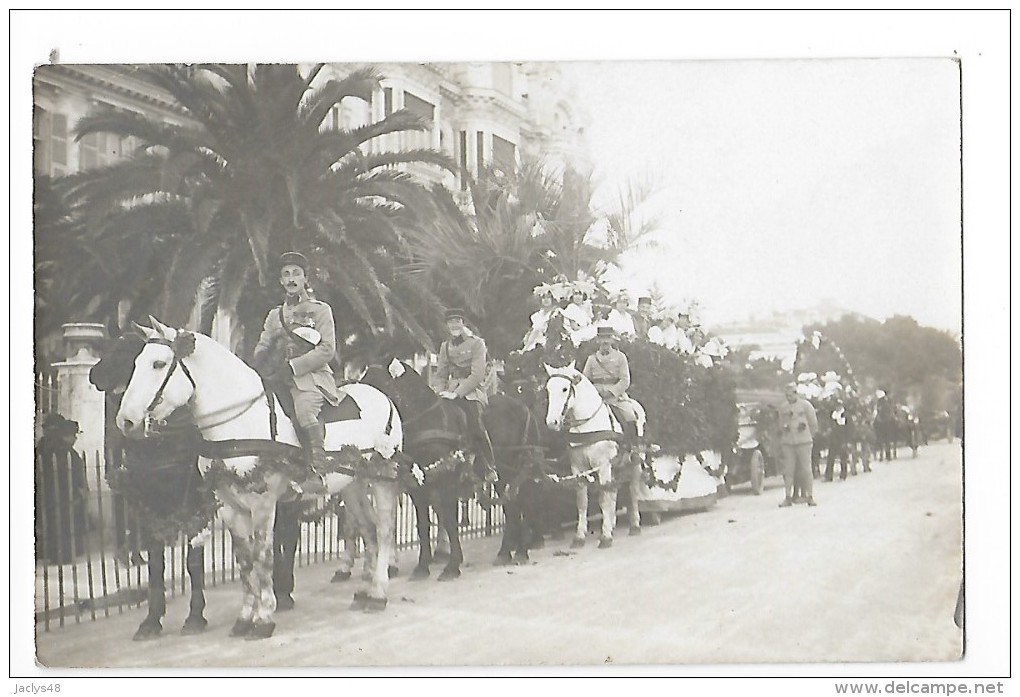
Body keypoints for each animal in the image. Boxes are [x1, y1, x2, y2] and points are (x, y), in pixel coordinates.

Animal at [90, 334, 301, 640]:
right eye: (135, 361)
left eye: (157, 363)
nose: (125, 421)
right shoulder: (153, 506)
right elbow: (157, 563)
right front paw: (151, 619)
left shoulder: (199, 506)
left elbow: (196, 561)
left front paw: (195, 617)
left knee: (289, 536)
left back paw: (284, 593)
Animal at [117, 318, 403, 640]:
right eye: (136, 363)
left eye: (158, 363)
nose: (126, 421)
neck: (238, 423)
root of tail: (383, 396)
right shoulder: (230, 507)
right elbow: (245, 561)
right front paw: (245, 617)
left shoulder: (264, 503)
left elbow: (263, 556)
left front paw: (264, 617)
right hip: (351, 484)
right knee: (368, 530)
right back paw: (365, 591)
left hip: (383, 476)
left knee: (384, 530)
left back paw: (378, 594)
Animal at [542, 363, 636, 546]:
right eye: (548, 389)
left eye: (565, 389)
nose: (552, 422)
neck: (586, 425)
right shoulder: (578, 469)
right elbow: (582, 501)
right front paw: (580, 536)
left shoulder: (603, 466)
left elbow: (604, 499)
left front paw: (605, 537)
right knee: (614, 491)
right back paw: (612, 523)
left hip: (633, 463)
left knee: (632, 490)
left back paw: (634, 525)